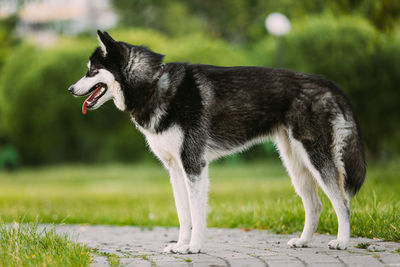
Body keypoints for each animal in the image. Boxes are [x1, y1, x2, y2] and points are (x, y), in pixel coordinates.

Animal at [68, 30, 366, 253]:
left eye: (92, 71)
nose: (70, 89)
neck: (152, 86)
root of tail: (328, 84)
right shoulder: (176, 170)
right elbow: (184, 215)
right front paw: (180, 245)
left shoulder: (194, 166)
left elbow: (197, 214)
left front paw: (194, 247)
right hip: (295, 163)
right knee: (315, 205)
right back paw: (303, 241)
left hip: (316, 158)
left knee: (342, 201)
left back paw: (342, 241)